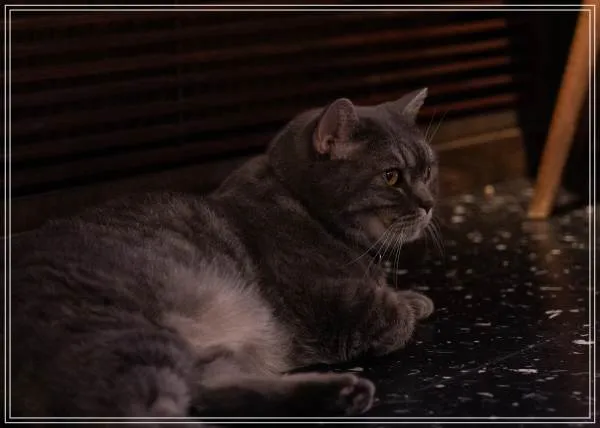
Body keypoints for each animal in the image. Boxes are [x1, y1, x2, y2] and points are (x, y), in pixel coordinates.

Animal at [10, 88, 437, 419]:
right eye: (391, 177)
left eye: (428, 171)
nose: (431, 203)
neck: (301, 203)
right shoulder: (336, 305)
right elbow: (393, 314)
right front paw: (411, 303)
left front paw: (414, 296)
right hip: (127, 338)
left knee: (207, 391)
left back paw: (342, 393)